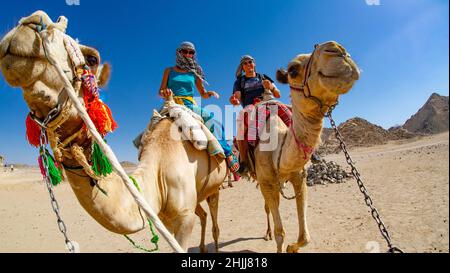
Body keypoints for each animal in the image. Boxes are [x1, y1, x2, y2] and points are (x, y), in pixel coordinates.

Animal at [0, 11, 225, 253]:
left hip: (215, 187)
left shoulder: (183, 218)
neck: (158, 174)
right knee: (203, 215)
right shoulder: (165, 217)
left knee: (214, 221)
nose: (30, 23)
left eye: (92, 59)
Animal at [251, 40, 360, 251]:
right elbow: (280, 233)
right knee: (266, 207)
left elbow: (305, 237)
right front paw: (281, 242)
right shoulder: (266, 182)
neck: (278, 150)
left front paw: (292, 247)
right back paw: (267, 233)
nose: (338, 51)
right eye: (293, 70)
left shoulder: (299, 178)